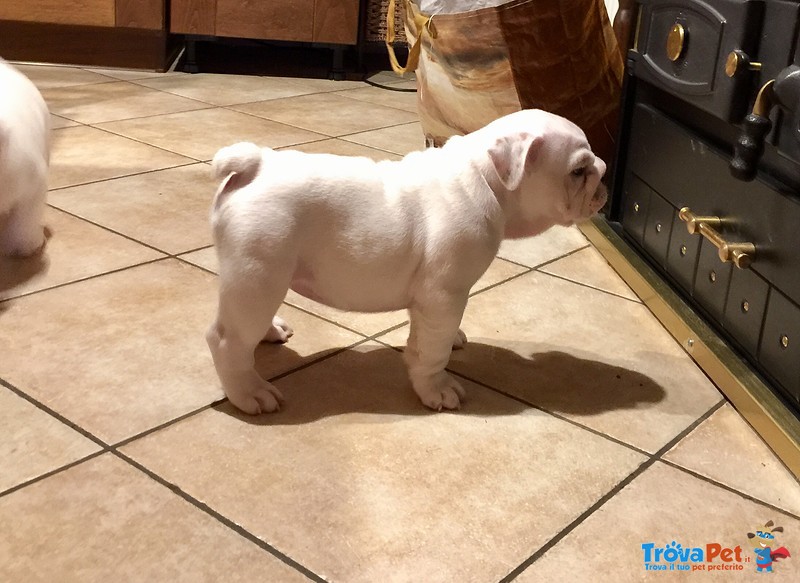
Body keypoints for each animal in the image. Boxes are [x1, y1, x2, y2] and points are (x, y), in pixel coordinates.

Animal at [206, 109, 608, 416]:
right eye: (578, 171)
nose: (604, 179)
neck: (485, 179)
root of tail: (255, 165)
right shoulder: (444, 296)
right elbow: (432, 351)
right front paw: (436, 389)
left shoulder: (428, 301)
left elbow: (424, 336)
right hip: (259, 273)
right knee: (226, 340)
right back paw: (249, 393)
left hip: (261, 276)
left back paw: (270, 332)